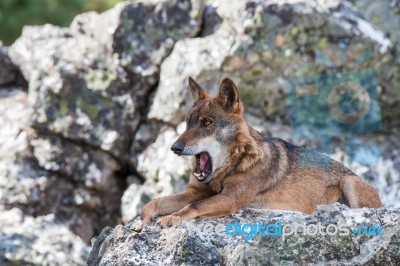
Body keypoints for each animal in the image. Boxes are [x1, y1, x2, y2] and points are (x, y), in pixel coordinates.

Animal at [141, 76, 382, 227]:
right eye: (187, 122)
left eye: (207, 123)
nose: (174, 148)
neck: (231, 166)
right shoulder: (195, 191)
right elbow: (155, 202)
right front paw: (144, 219)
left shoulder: (231, 198)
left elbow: (193, 206)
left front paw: (171, 218)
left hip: (349, 182)